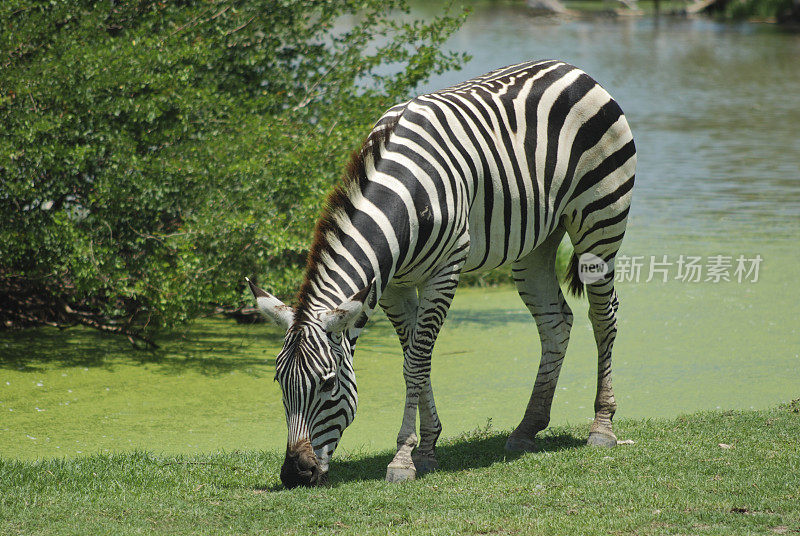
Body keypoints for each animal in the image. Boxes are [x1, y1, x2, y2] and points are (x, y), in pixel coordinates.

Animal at [250, 60, 636, 488]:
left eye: (329, 384)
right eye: (279, 383)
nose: (294, 473)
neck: (403, 205)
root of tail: (572, 68)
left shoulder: (444, 272)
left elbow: (416, 362)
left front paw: (404, 458)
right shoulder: (392, 287)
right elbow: (414, 359)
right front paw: (428, 447)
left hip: (600, 221)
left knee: (603, 316)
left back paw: (602, 426)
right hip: (536, 243)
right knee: (555, 321)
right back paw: (527, 428)